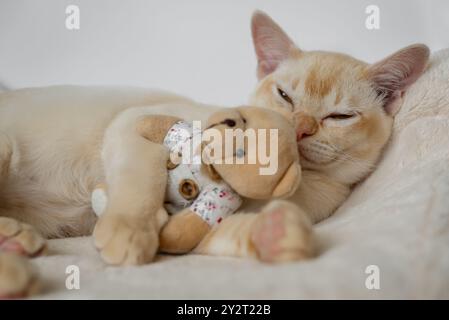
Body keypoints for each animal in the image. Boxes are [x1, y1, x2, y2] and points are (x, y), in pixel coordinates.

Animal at [0, 11, 428, 298]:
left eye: (339, 117)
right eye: (285, 96)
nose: (300, 127)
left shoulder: (202, 223)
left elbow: (213, 235)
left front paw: (274, 236)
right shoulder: (135, 121)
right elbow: (143, 180)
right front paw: (129, 231)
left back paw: (16, 243)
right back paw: (17, 262)